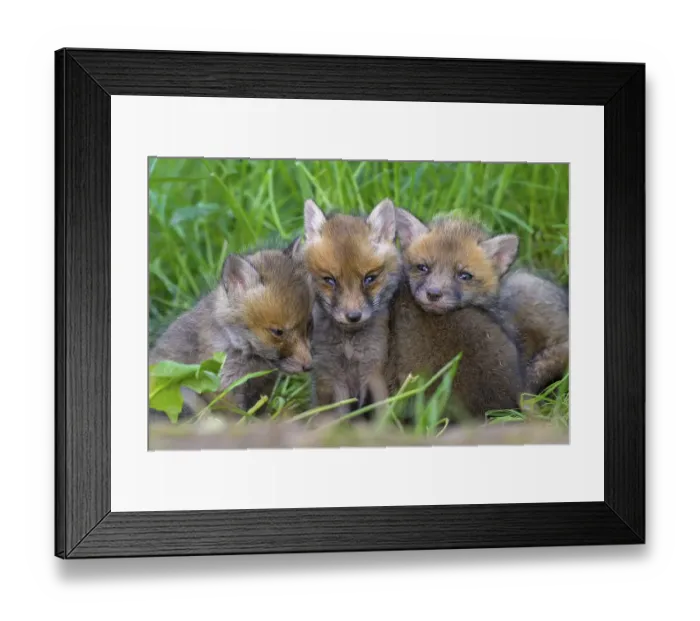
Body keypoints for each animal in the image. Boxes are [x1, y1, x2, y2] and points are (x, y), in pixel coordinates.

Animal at [148, 241, 314, 422]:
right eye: (278, 332)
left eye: (309, 325)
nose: (309, 366)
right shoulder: (221, 386)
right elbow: (233, 419)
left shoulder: (262, 387)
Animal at [302, 198, 401, 418]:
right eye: (329, 280)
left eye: (369, 278)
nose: (353, 316)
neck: (349, 347)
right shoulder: (330, 376)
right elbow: (337, 415)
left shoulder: (374, 370)